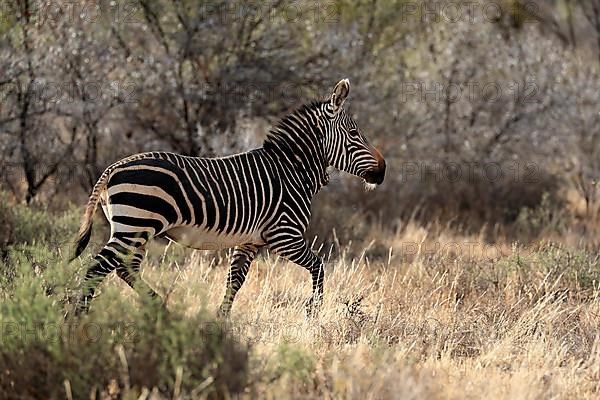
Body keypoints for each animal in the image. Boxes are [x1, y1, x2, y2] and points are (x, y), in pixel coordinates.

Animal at [71, 78, 384, 316]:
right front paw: (312, 311)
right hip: (135, 225)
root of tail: (113, 167)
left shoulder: (250, 241)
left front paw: (220, 322)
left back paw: (160, 309)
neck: (290, 169)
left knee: (125, 269)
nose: (382, 171)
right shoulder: (284, 236)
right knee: (98, 268)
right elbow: (319, 266)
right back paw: (78, 319)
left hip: (134, 228)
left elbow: (235, 281)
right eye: (354, 133)